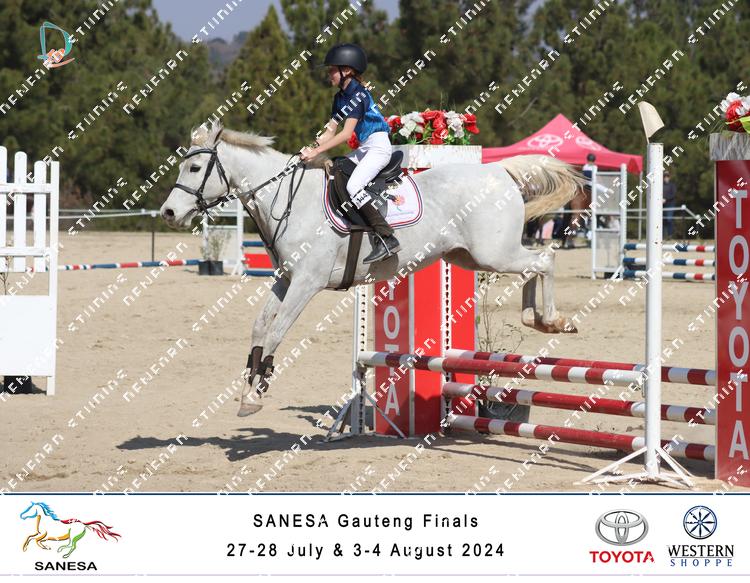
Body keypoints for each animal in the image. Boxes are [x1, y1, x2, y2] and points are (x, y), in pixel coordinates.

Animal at [160, 122, 584, 417]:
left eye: (195, 167)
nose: (168, 213)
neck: (288, 199)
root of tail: (499, 173)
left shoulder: (307, 282)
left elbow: (278, 330)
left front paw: (255, 392)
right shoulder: (285, 279)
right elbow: (261, 327)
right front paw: (249, 389)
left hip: (494, 253)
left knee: (544, 260)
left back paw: (555, 321)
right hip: (472, 256)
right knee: (531, 267)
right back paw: (535, 319)